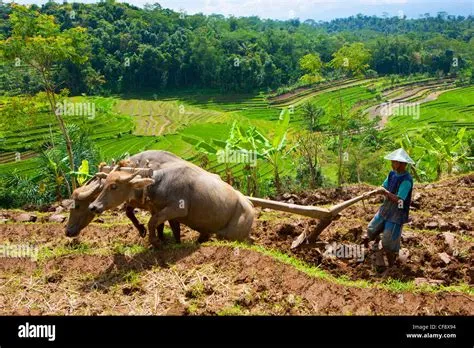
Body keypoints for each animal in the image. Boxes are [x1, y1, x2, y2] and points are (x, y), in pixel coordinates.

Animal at [87, 163, 254, 247]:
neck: (161, 183)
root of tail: (250, 208)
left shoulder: (177, 210)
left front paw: (154, 241)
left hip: (229, 235)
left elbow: (152, 222)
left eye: (114, 186)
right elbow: (169, 229)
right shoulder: (165, 212)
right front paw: (161, 239)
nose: (93, 207)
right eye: (104, 183)